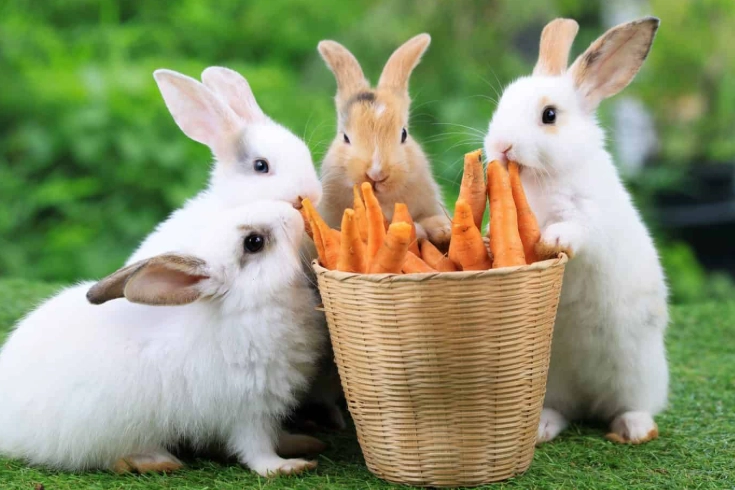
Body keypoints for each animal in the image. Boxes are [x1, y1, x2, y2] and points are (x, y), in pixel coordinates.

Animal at [0, 200, 329, 476]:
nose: (293, 209)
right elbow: (257, 449)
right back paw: (157, 461)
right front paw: (287, 466)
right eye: (254, 242)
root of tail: (9, 428)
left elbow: (278, 434)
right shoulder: (248, 409)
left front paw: (303, 443)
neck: (246, 307)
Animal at [483, 17, 669, 445]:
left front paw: (552, 240)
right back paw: (543, 428)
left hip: (641, 374)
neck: (542, 179)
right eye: (501, 105)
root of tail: (589, 400)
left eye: (549, 115)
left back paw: (634, 429)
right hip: (552, 382)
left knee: (633, 405)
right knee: (562, 411)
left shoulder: (591, 217)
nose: (501, 146)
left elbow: (576, 230)